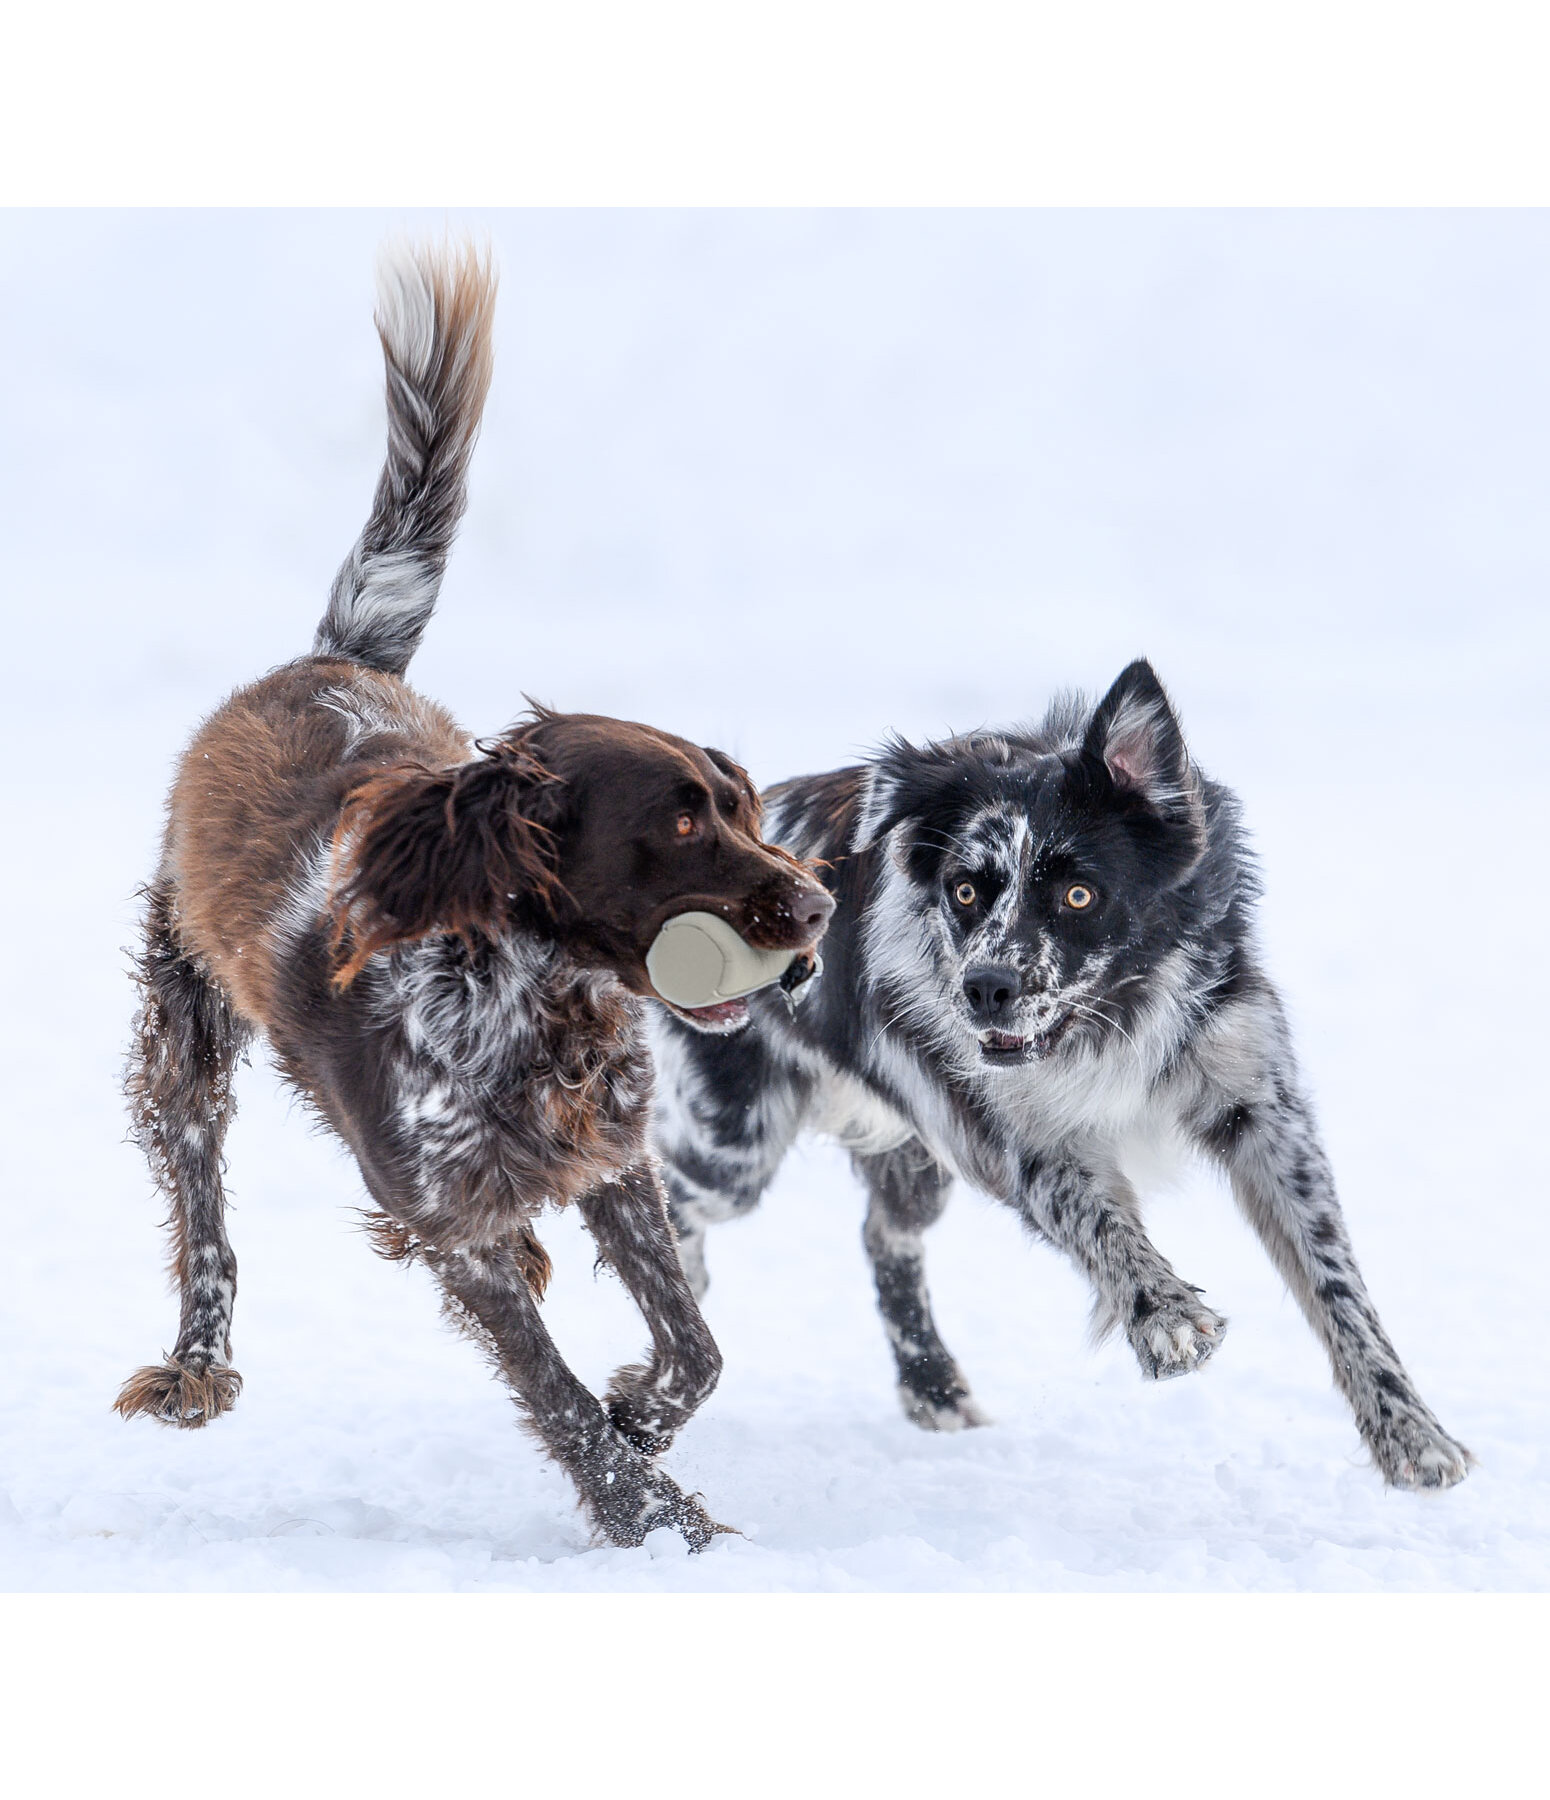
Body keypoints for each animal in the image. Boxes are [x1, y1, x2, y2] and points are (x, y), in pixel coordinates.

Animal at [117, 246, 835, 1555]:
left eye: (741, 805)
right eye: (682, 822)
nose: (815, 909)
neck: (536, 1005)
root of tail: (331, 657)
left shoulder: (613, 1161)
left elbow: (695, 1350)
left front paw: (644, 1418)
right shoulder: (452, 1219)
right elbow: (554, 1391)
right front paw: (654, 1516)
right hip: (182, 1041)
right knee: (202, 1209)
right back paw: (196, 1362)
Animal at [648, 662, 1468, 1490]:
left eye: (1079, 893)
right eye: (965, 890)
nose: (984, 989)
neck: (1111, 1018)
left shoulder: (1259, 1106)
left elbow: (1334, 1281)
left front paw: (1410, 1431)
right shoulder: (1020, 1139)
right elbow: (1102, 1225)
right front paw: (1167, 1318)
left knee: (885, 1235)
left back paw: (935, 1390)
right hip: (733, 1146)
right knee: (670, 1193)